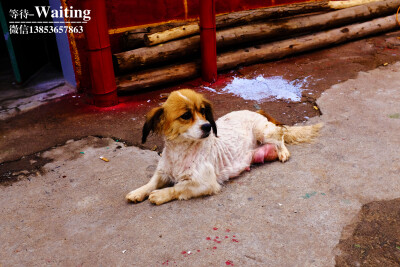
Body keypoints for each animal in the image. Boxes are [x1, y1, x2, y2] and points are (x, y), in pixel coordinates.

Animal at [125, 89, 322, 205]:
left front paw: (160, 194)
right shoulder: (163, 172)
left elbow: (179, 188)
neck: (180, 151)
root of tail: (256, 111)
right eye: (186, 115)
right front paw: (138, 192)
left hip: (263, 131)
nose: (207, 126)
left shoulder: (206, 184)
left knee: (280, 134)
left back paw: (283, 152)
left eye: (203, 111)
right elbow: (151, 183)